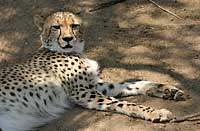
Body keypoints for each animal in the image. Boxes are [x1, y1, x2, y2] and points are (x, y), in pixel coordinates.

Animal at [0, 11, 185, 131]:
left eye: (74, 25)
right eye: (56, 27)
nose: (68, 39)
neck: (75, 51)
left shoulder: (92, 85)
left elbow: (130, 84)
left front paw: (166, 89)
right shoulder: (81, 92)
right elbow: (123, 103)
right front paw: (155, 112)